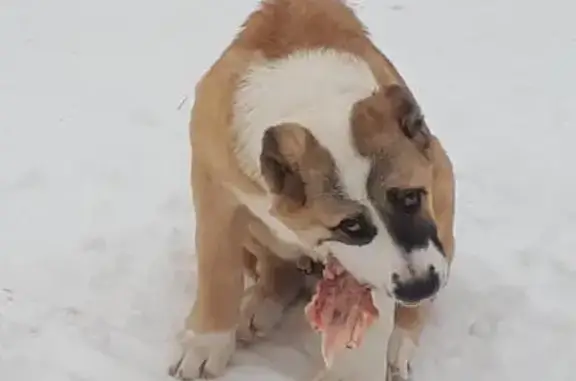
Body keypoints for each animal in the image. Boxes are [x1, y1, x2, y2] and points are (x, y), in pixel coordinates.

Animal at [169, 0, 456, 378]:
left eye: (411, 197)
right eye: (349, 226)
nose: (420, 285)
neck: (313, 100)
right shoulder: (216, 194)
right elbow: (219, 274)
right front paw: (207, 344)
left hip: (444, 179)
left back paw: (399, 347)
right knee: (276, 269)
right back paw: (259, 304)